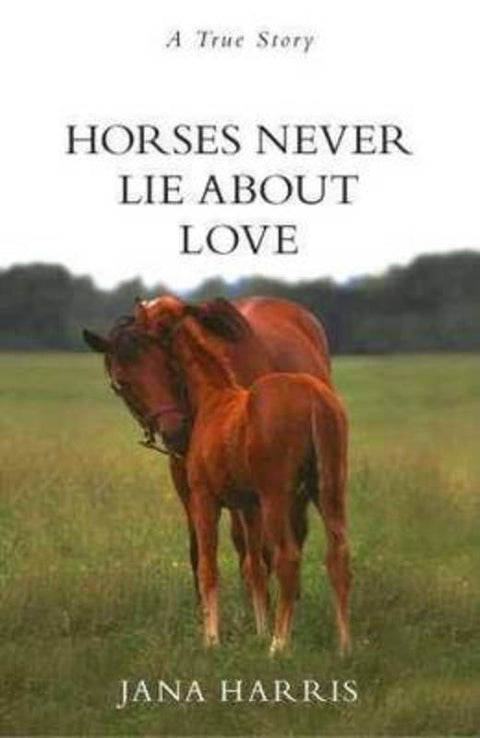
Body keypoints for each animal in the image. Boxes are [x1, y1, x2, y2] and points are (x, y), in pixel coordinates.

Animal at [85, 298, 351, 655]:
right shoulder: (243, 503)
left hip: (279, 497)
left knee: (288, 555)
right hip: (327, 491)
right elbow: (250, 565)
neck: (214, 395)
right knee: (337, 555)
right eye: (121, 384)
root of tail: (314, 399)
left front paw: (212, 638)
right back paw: (343, 645)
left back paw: (279, 644)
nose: (176, 432)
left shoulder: (206, 497)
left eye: (167, 366)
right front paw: (255, 627)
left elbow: (211, 566)